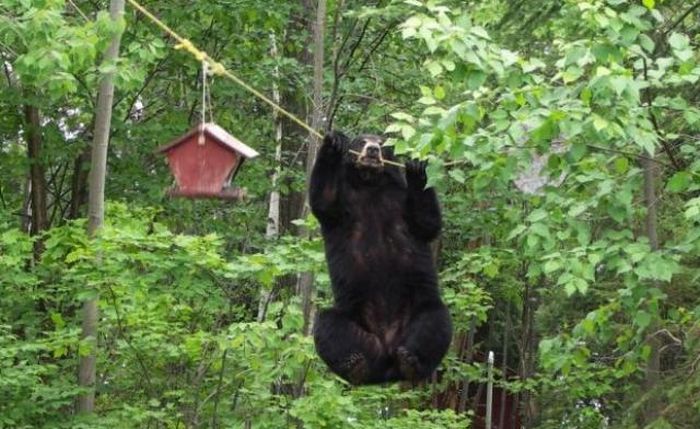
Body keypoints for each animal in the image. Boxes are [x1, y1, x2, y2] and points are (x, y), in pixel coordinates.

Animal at [312, 129, 454, 382]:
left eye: (383, 143)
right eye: (361, 141)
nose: (372, 150)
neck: (370, 183)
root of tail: (388, 366)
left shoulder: (399, 198)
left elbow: (427, 222)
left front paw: (416, 167)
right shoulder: (344, 201)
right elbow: (324, 200)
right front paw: (334, 142)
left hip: (418, 309)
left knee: (436, 321)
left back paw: (411, 361)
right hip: (353, 320)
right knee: (327, 325)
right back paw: (355, 365)